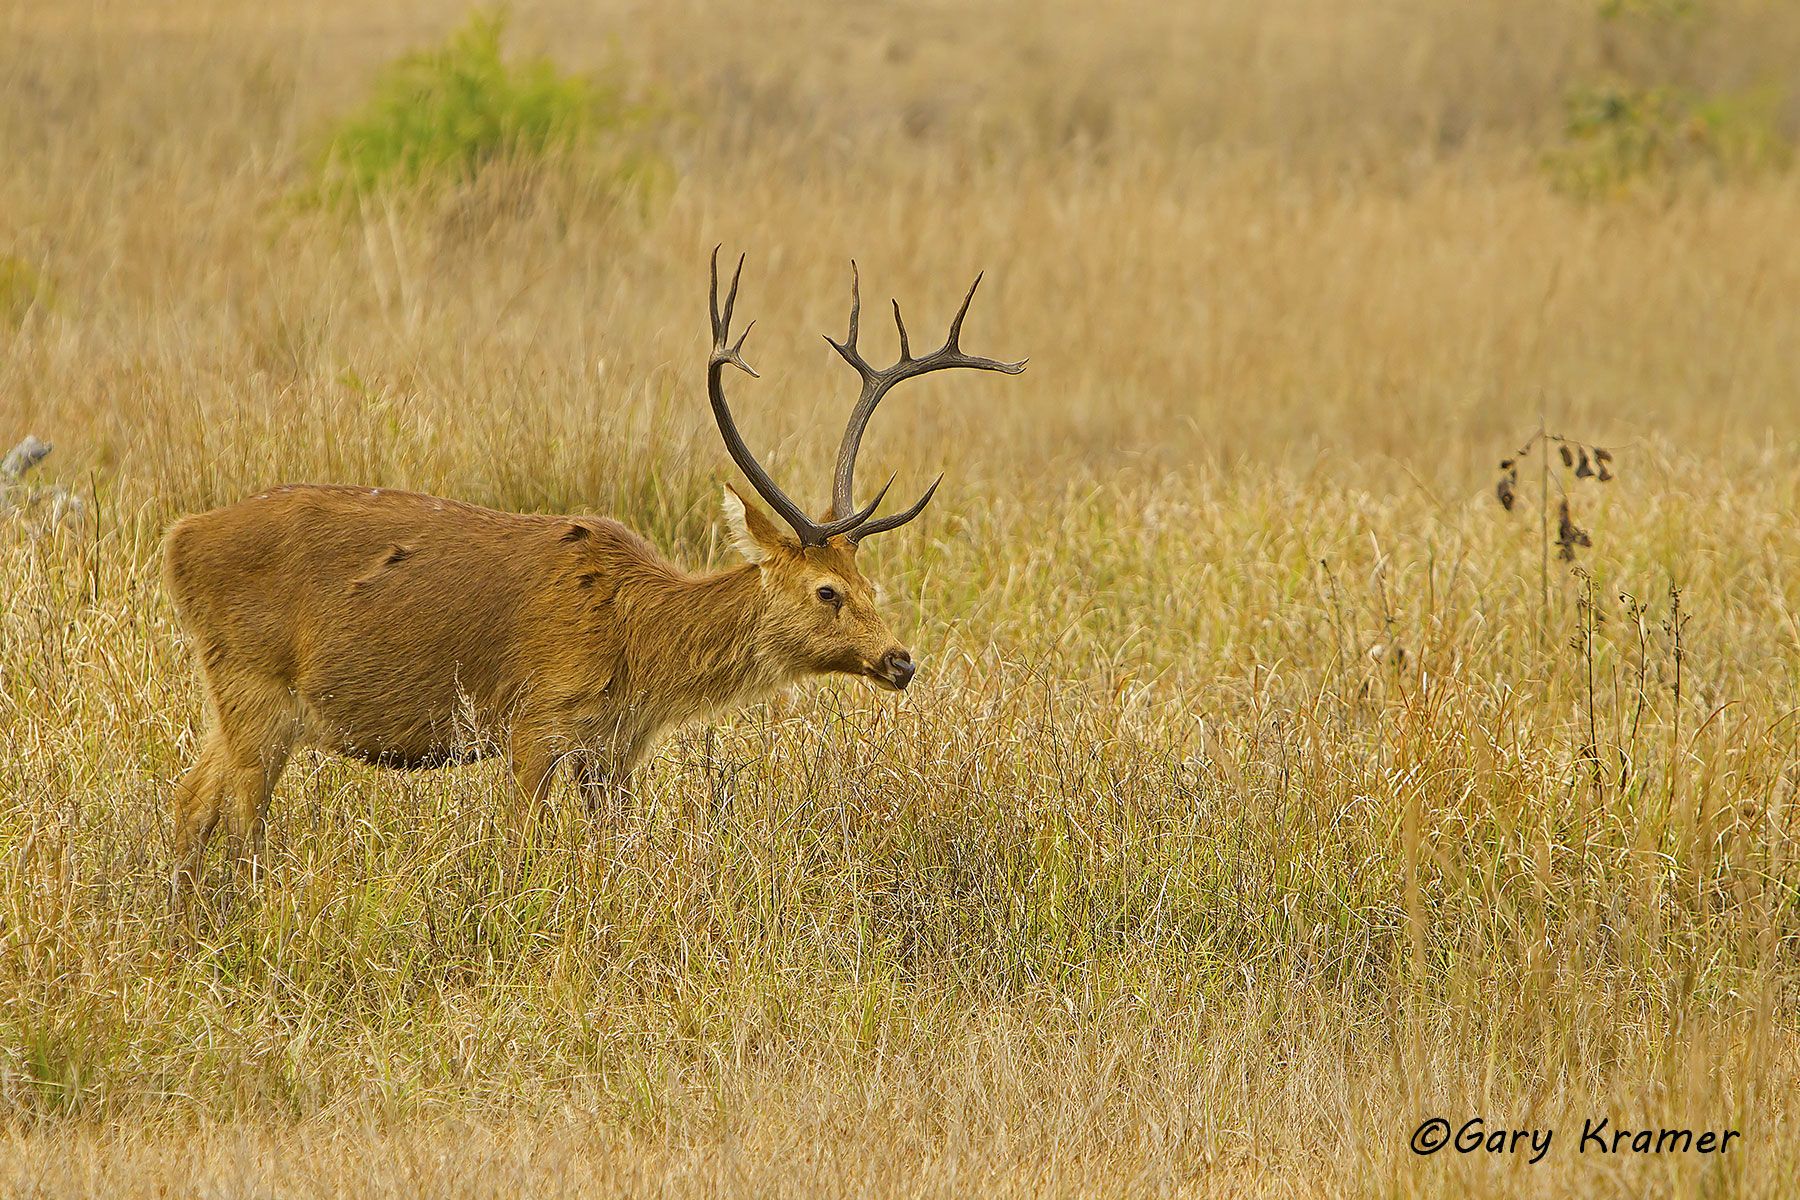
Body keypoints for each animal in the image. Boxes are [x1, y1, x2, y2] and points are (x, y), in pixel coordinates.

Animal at [163, 249, 1024, 897]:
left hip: (233, 695)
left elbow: (622, 853)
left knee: (189, 802)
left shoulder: (613, 751)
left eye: (875, 587)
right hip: (255, 684)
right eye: (827, 591)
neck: (636, 640)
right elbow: (518, 848)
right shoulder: (535, 718)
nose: (901, 661)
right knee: (239, 820)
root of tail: (178, 540)